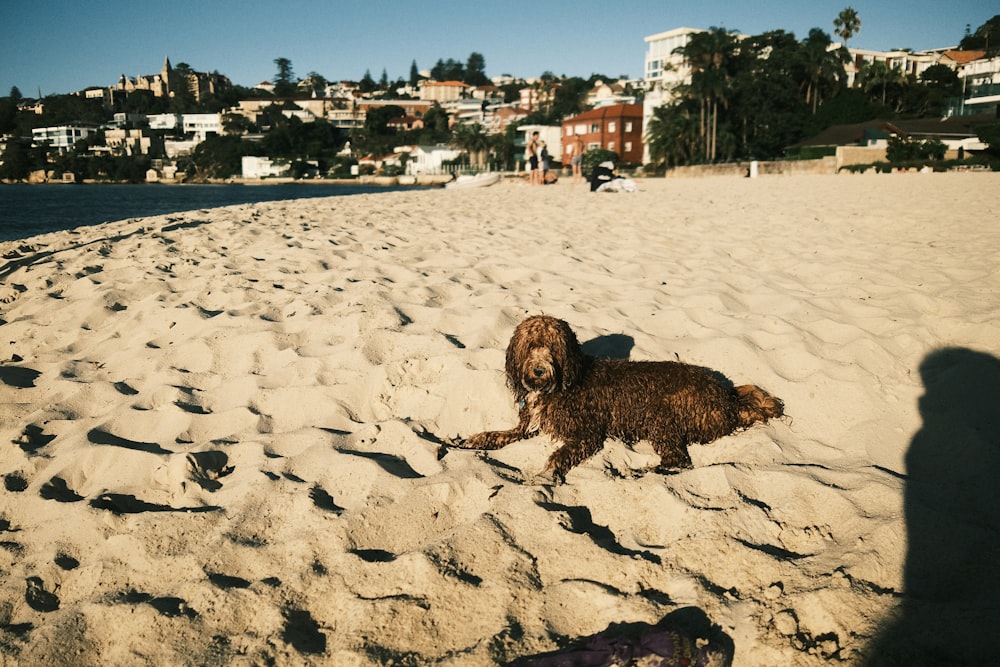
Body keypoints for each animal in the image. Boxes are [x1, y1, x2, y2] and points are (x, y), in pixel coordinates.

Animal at [458, 316, 784, 482]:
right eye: (530, 345)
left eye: (553, 347)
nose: (539, 370)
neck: (562, 384)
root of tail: (728, 399)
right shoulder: (526, 426)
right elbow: (501, 433)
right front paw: (476, 439)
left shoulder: (586, 434)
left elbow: (559, 454)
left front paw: (549, 470)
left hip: (660, 415)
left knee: (677, 461)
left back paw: (637, 472)